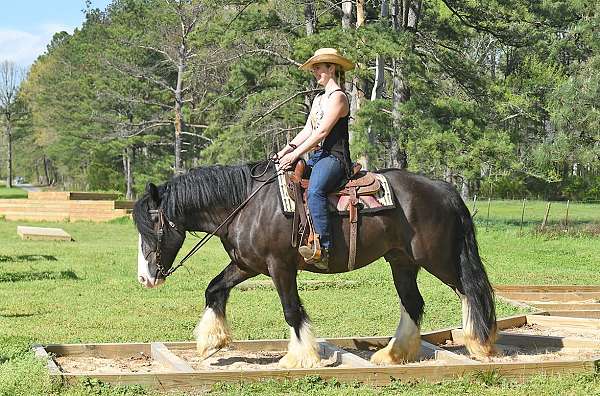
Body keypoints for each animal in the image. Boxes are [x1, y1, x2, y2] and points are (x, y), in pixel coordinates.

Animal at [134, 163, 494, 368]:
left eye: (153, 226)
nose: (144, 278)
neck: (247, 206)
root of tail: (444, 189)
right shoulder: (246, 264)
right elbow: (214, 289)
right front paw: (211, 342)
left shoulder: (280, 267)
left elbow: (291, 310)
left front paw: (301, 356)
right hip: (401, 261)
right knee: (413, 303)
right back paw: (393, 354)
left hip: (439, 259)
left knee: (470, 291)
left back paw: (481, 343)